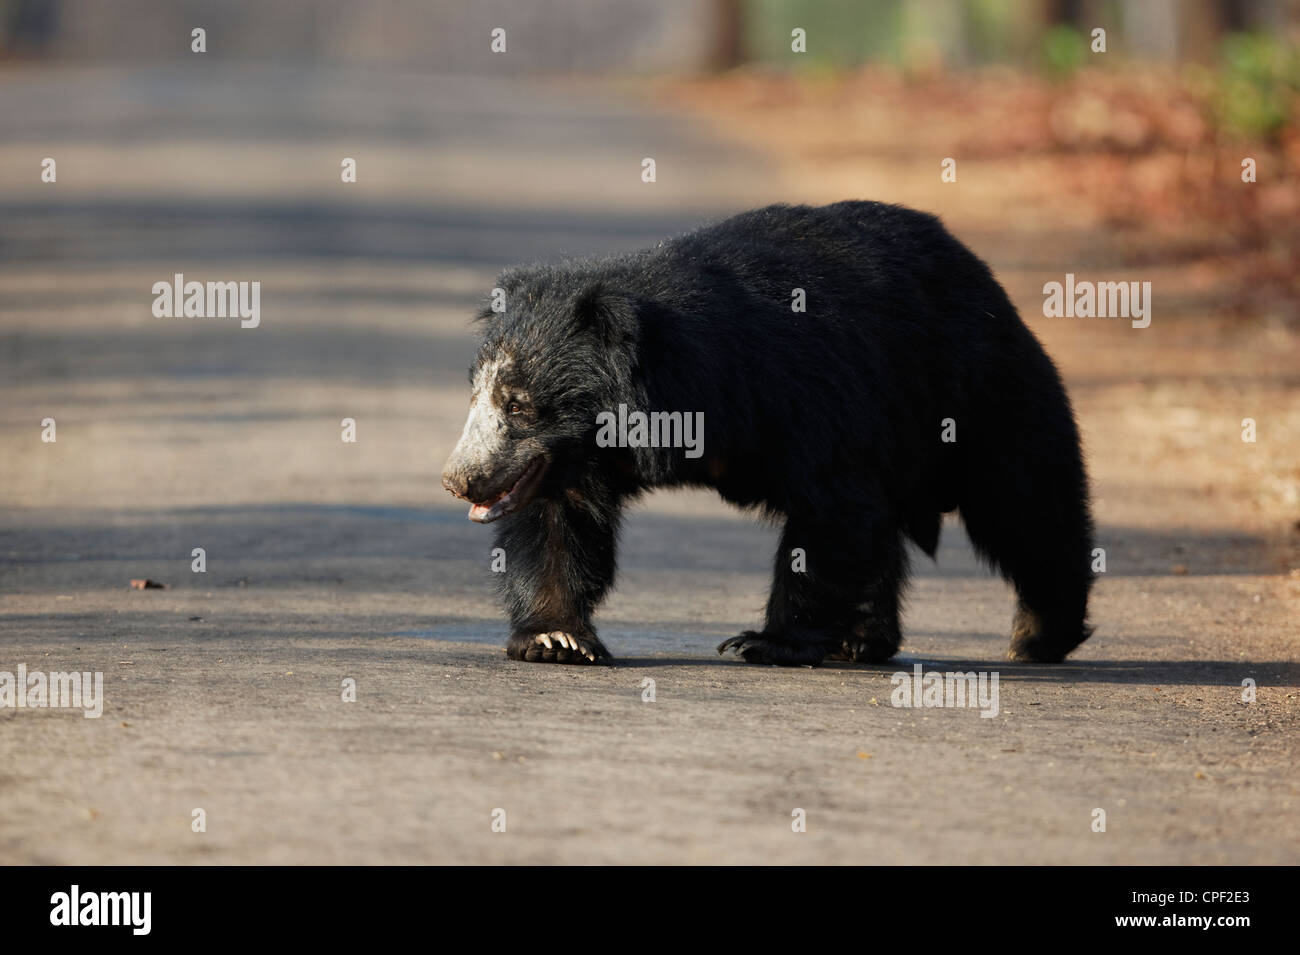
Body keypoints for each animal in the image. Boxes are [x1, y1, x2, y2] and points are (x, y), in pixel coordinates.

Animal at [441, 200, 1092, 665]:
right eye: (477, 395)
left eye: (519, 404)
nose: (459, 479)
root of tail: (977, 270)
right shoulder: (570, 461)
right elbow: (560, 522)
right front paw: (557, 640)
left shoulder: (812, 394)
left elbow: (831, 511)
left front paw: (766, 642)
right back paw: (863, 639)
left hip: (979, 388)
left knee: (1026, 503)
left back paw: (1038, 636)